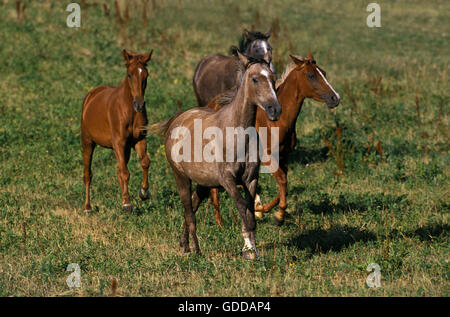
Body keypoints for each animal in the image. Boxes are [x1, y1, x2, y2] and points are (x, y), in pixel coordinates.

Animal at [82, 49, 155, 212]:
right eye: (129, 74)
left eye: (146, 75)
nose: (139, 104)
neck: (128, 110)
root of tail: (91, 95)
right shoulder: (119, 142)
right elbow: (125, 172)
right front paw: (127, 203)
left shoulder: (138, 140)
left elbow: (145, 162)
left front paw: (144, 192)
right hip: (88, 142)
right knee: (88, 174)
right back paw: (88, 207)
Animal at [155, 51, 282, 258]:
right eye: (255, 79)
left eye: (272, 78)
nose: (275, 109)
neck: (238, 134)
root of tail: (177, 120)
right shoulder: (227, 179)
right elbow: (243, 208)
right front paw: (248, 250)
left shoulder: (250, 179)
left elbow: (249, 211)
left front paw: (252, 251)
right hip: (181, 177)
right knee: (189, 211)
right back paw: (195, 250)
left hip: (204, 183)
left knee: (193, 205)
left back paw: (184, 243)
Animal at [207, 51, 342, 225]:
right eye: (311, 75)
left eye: (323, 73)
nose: (335, 98)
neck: (277, 123)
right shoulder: (267, 158)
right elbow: (282, 181)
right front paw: (277, 216)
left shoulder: (284, 157)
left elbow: (283, 185)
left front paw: (263, 209)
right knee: (214, 189)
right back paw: (220, 223)